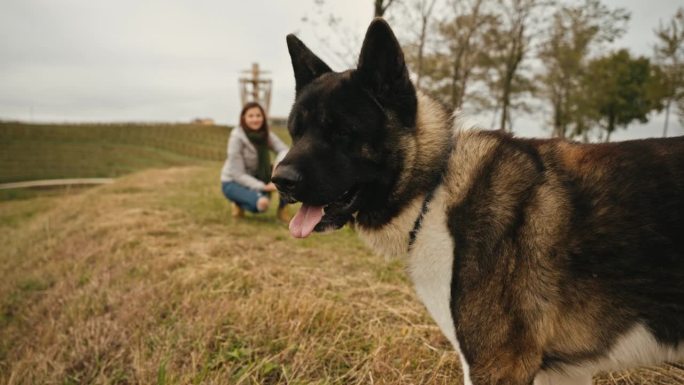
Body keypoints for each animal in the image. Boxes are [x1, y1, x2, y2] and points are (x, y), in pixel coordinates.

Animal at [272, 18, 684, 385]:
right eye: (296, 132)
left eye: (342, 132)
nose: (279, 180)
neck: (435, 189)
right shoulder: (561, 373)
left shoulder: (498, 365)